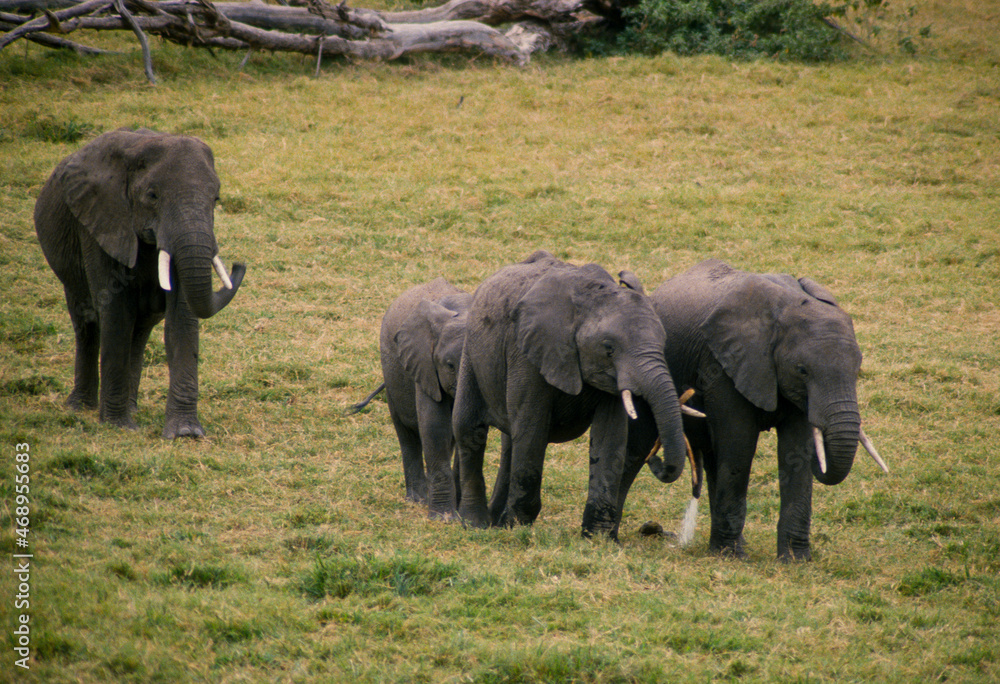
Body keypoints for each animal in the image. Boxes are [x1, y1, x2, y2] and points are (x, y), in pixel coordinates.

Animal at [34, 128, 246, 439]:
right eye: (152, 195)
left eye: (216, 198)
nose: (239, 265)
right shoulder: (101, 222)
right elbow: (115, 315)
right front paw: (118, 426)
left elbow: (181, 318)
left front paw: (185, 433)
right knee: (87, 322)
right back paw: (81, 408)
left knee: (140, 331)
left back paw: (131, 409)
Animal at [349, 277, 474, 517]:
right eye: (450, 365)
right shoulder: (424, 364)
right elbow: (434, 427)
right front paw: (444, 518)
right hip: (391, 373)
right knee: (407, 435)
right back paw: (418, 500)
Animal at [452, 250, 689, 539]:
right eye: (608, 348)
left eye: (663, 343)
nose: (656, 459)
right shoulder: (527, 352)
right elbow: (531, 429)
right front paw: (519, 526)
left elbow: (609, 437)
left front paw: (598, 539)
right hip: (472, 353)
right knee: (469, 430)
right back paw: (476, 523)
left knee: (509, 442)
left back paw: (497, 522)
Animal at [621, 259, 886, 561]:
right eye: (802, 370)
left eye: (857, 369)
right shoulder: (723, 364)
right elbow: (739, 444)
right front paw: (732, 558)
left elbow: (796, 450)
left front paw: (795, 561)